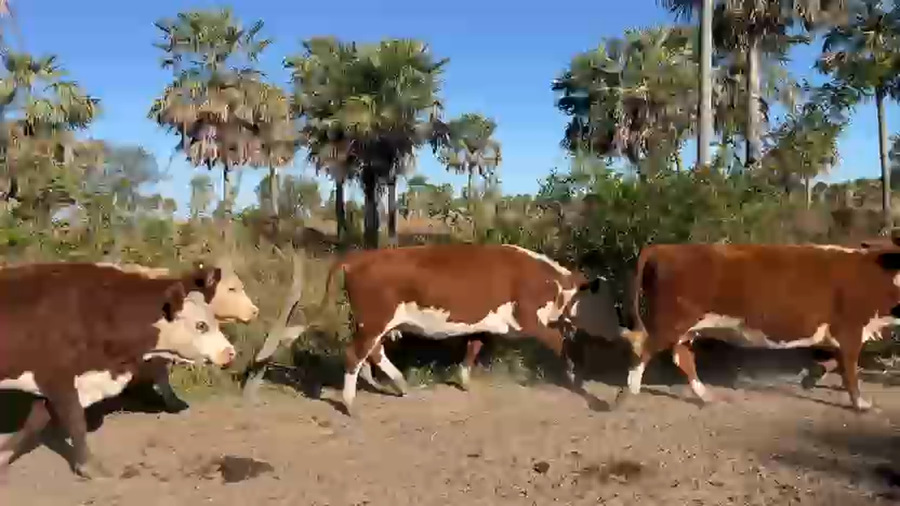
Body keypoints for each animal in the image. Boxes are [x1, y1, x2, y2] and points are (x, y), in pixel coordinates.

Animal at [0, 262, 236, 479]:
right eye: (201, 325)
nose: (230, 352)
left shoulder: (52, 383)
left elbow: (34, 423)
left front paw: (3, 455)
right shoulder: (57, 378)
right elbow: (75, 420)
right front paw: (90, 467)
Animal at [308, 243, 621, 415]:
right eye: (606, 304)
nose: (619, 330)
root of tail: (359, 257)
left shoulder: (486, 324)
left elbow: (474, 346)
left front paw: (464, 379)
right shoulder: (531, 321)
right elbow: (562, 344)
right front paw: (575, 377)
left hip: (376, 324)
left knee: (373, 352)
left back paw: (399, 384)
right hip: (374, 322)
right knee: (355, 355)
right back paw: (350, 403)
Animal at [616, 241, 900, 412]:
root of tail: (664, 247)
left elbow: (834, 363)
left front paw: (810, 377)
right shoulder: (850, 330)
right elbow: (850, 371)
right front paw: (861, 403)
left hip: (685, 328)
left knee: (681, 357)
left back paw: (706, 396)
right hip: (671, 322)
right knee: (644, 349)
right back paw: (627, 394)